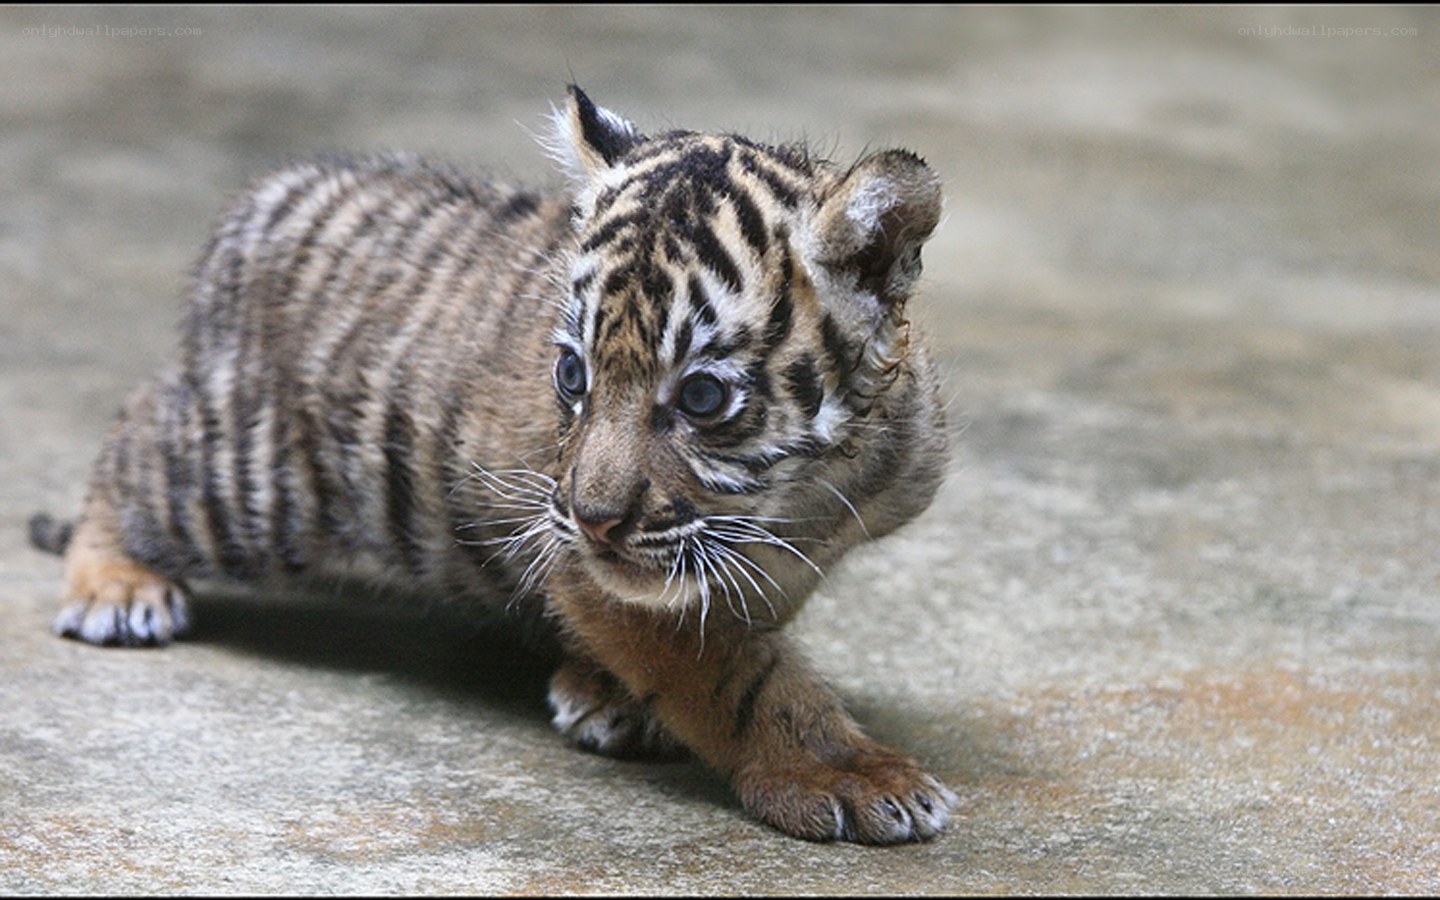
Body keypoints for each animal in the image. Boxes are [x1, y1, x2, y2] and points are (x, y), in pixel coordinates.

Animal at [29, 86, 956, 844]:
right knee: (134, 442)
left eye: (700, 397)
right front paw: (848, 774)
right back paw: (118, 588)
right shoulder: (586, 560)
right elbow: (742, 677)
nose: (595, 520)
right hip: (258, 486)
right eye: (573, 375)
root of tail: (268, 197)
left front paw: (605, 694)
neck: (801, 496)